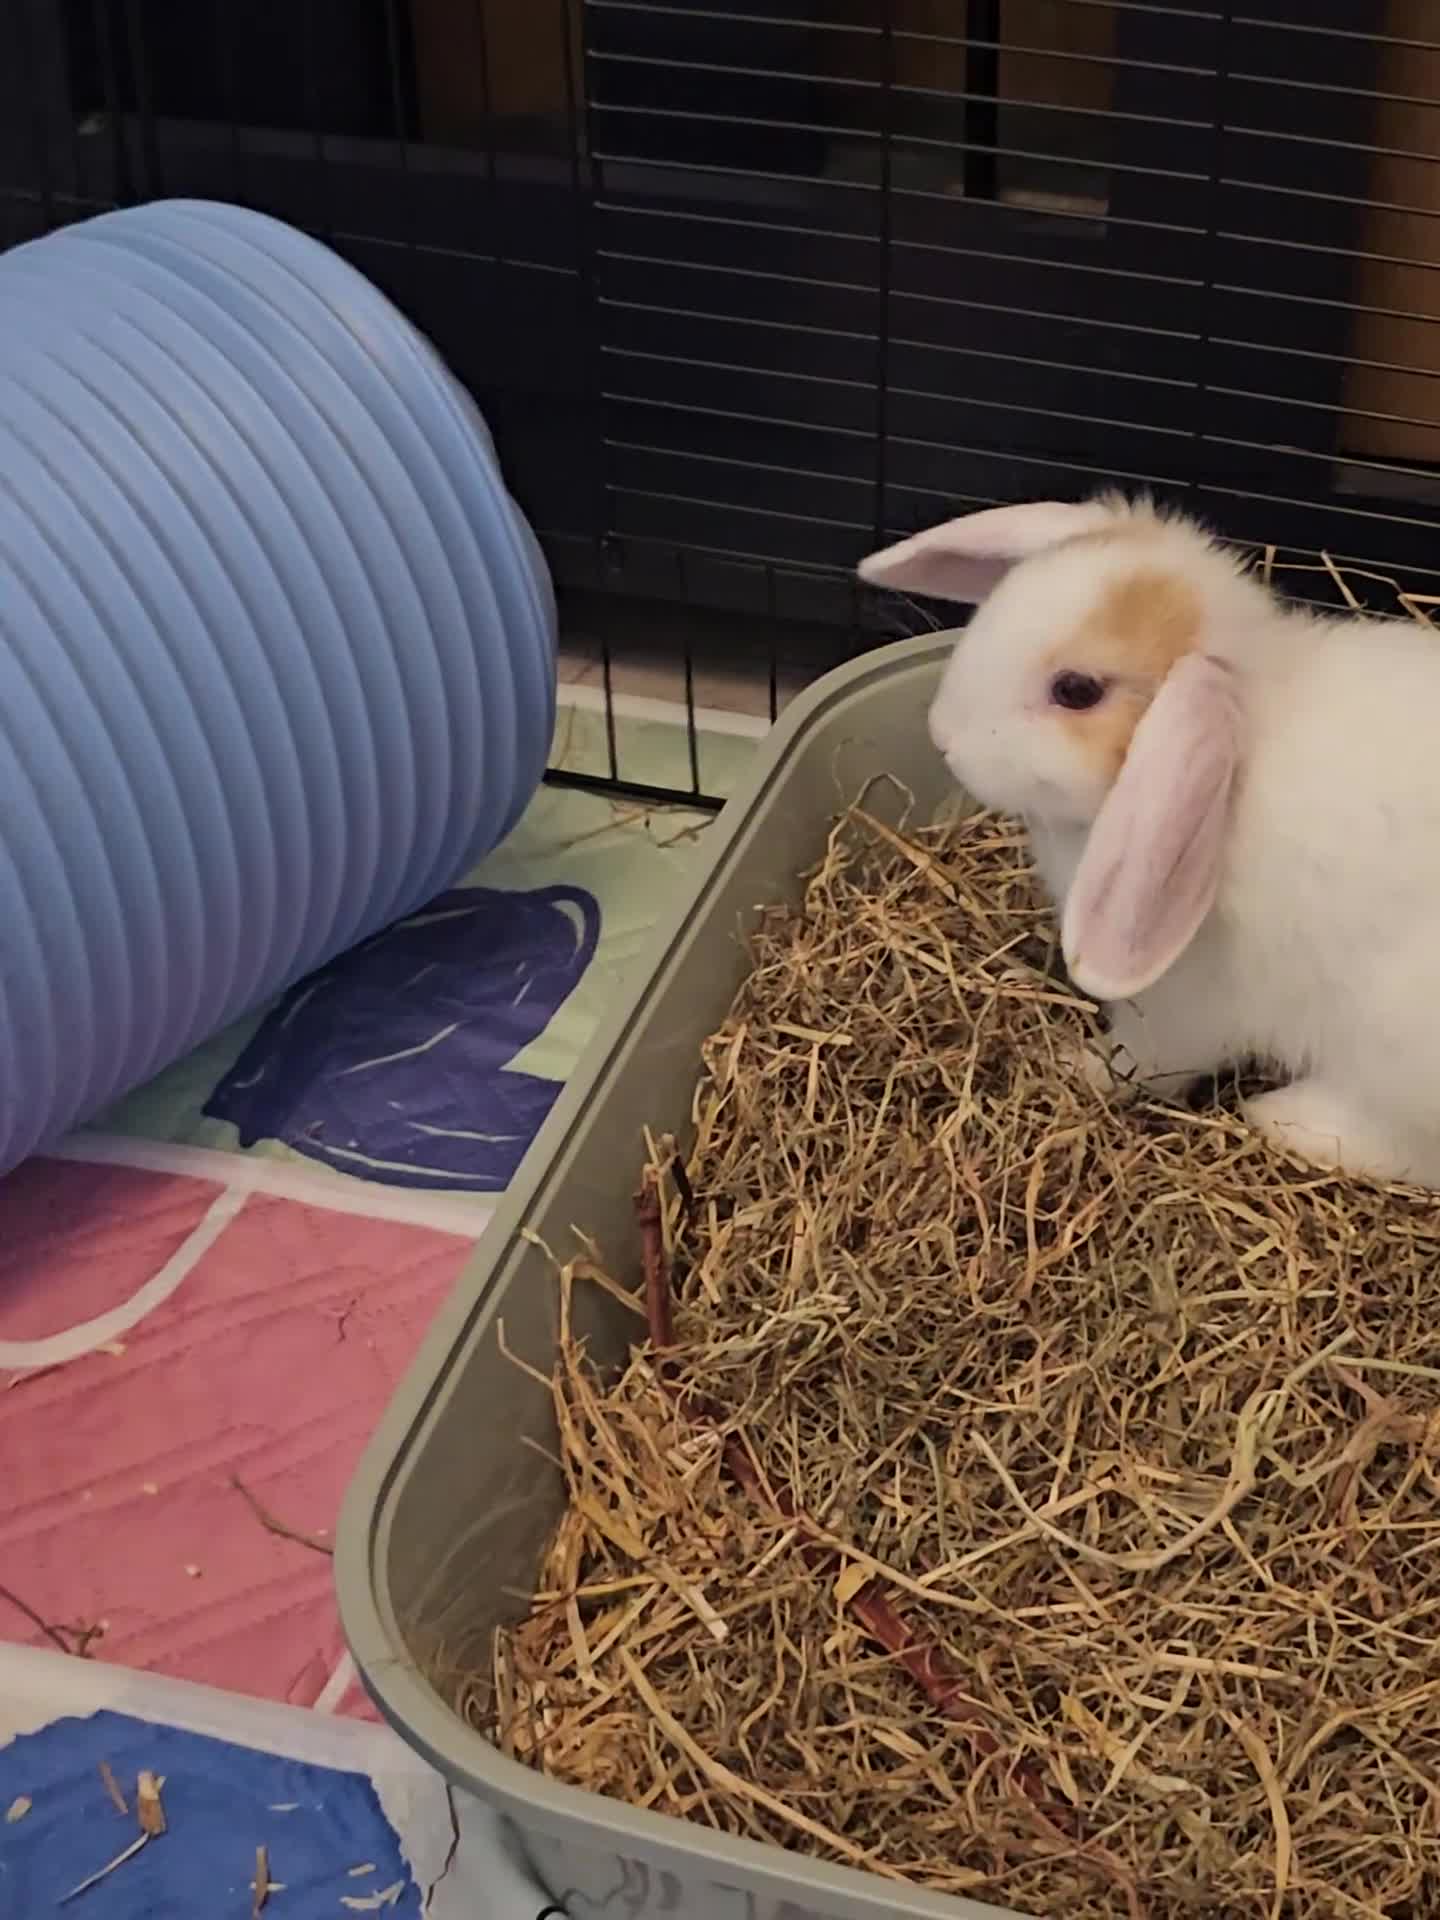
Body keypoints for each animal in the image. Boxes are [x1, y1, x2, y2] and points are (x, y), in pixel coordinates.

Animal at [858, 491, 1440, 1190]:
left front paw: (1078, 1065)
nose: (942, 734)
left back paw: (1284, 1118)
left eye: (1076, 690)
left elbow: (1144, 1060)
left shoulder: (1185, 1005)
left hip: (1393, 1046)